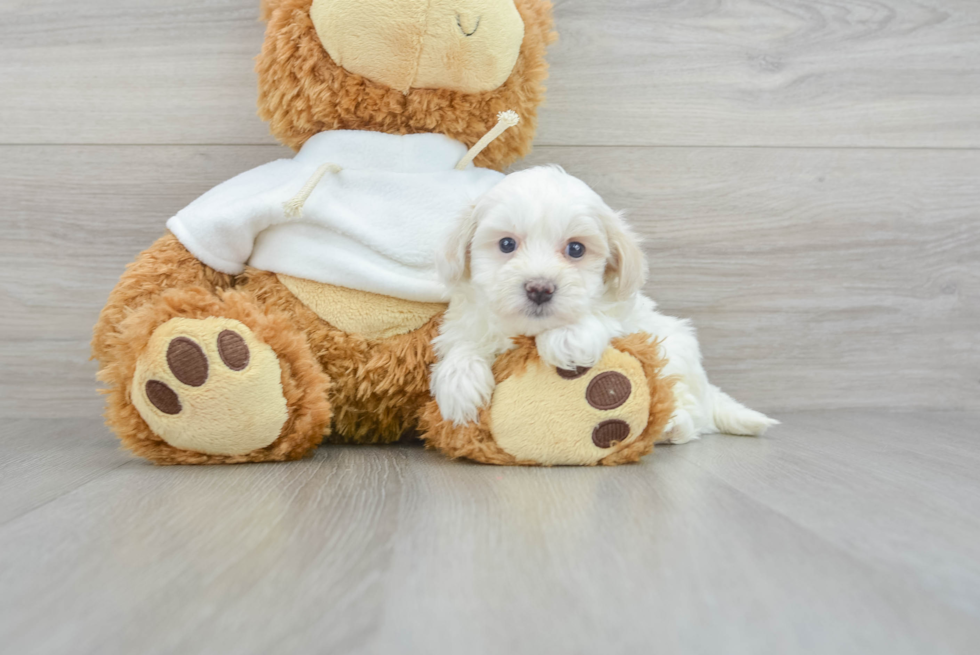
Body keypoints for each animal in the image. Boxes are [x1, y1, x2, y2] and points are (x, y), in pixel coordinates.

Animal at [432, 167, 776, 444]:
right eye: (506, 244)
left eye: (576, 249)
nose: (540, 288)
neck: (527, 331)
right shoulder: (466, 322)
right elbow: (463, 344)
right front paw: (460, 386)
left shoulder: (627, 318)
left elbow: (600, 317)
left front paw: (567, 337)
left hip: (675, 351)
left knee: (690, 408)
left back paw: (671, 426)